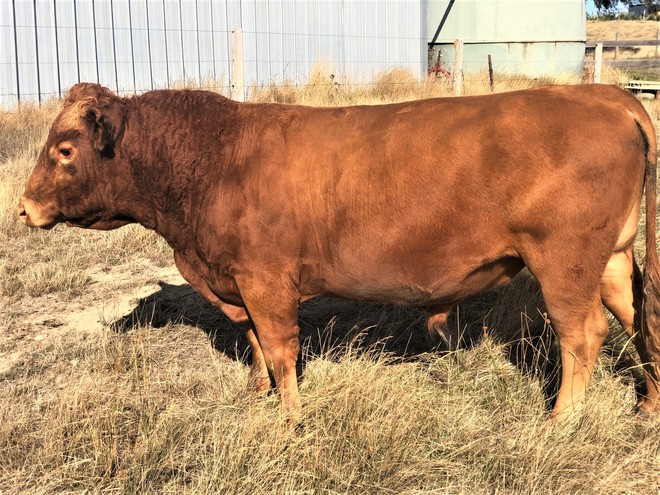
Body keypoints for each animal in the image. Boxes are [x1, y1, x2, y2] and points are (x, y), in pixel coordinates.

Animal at [17, 82, 660, 424]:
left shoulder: (266, 280)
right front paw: (259, 397)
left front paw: (289, 421)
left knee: (583, 335)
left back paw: (559, 420)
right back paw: (648, 407)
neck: (213, 160)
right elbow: (254, 342)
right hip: (611, 258)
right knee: (641, 320)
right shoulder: (239, 286)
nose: (22, 208)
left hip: (564, 262)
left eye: (66, 149)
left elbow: (279, 348)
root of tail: (604, 96)